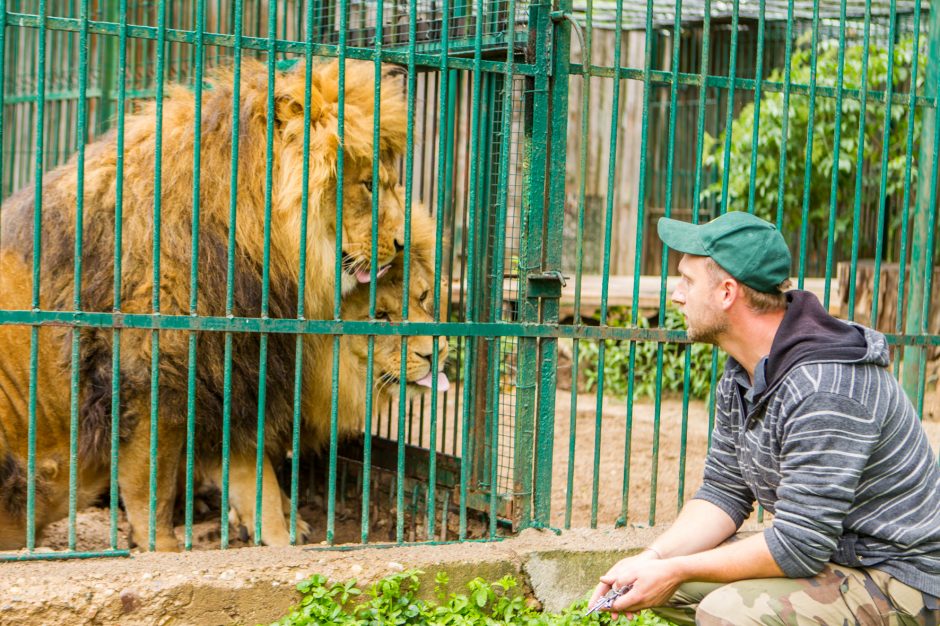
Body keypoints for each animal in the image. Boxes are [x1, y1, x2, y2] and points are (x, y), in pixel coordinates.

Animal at [0, 56, 412, 548]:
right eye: (368, 185)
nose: (403, 244)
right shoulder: (150, 377)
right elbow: (151, 485)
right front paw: (163, 548)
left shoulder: (230, 371)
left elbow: (251, 472)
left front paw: (278, 524)